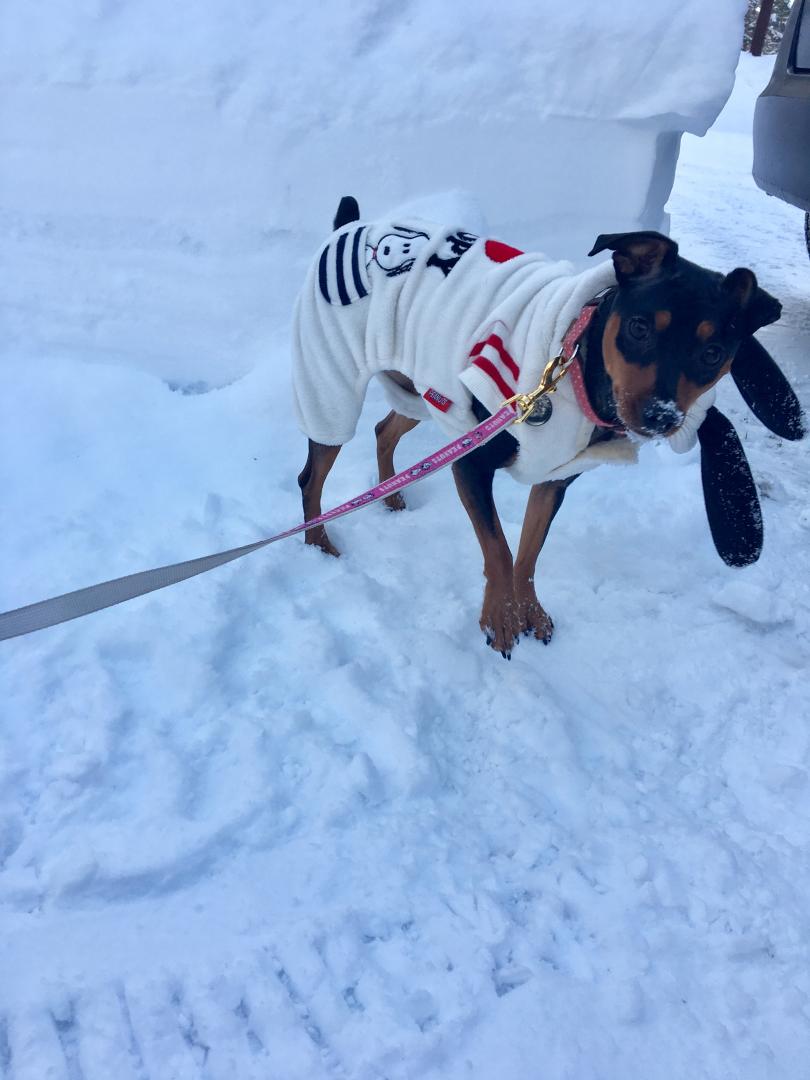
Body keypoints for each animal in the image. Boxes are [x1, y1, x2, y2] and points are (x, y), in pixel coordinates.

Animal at [295, 198, 807, 660]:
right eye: (639, 327)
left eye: (714, 352)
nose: (660, 416)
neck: (576, 371)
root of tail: (352, 224)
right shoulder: (473, 463)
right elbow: (499, 550)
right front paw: (500, 620)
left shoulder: (555, 478)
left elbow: (528, 553)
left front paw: (530, 613)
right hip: (333, 377)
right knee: (312, 475)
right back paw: (317, 544)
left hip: (426, 390)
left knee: (384, 429)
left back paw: (391, 494)